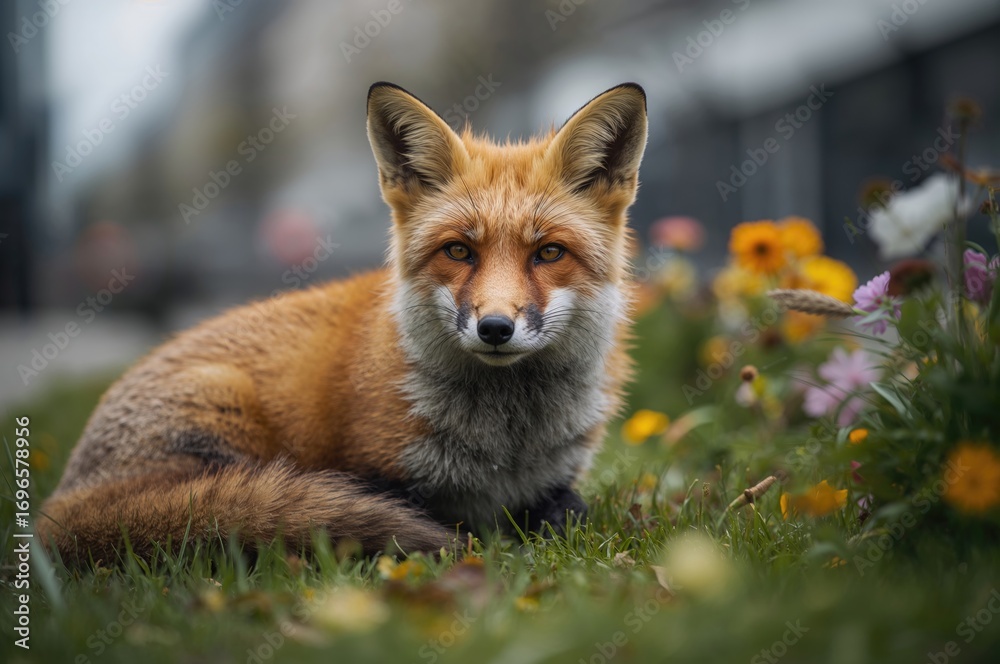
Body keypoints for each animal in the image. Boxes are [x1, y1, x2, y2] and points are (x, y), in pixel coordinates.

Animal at [38, 81, 648, 564]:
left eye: (548, 253)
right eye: (458, 251)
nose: (495, 327)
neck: (506, 443)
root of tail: (56, 504)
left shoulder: (555, 486)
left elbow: (570, 513)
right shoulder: (378, 475)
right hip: (225, 412)